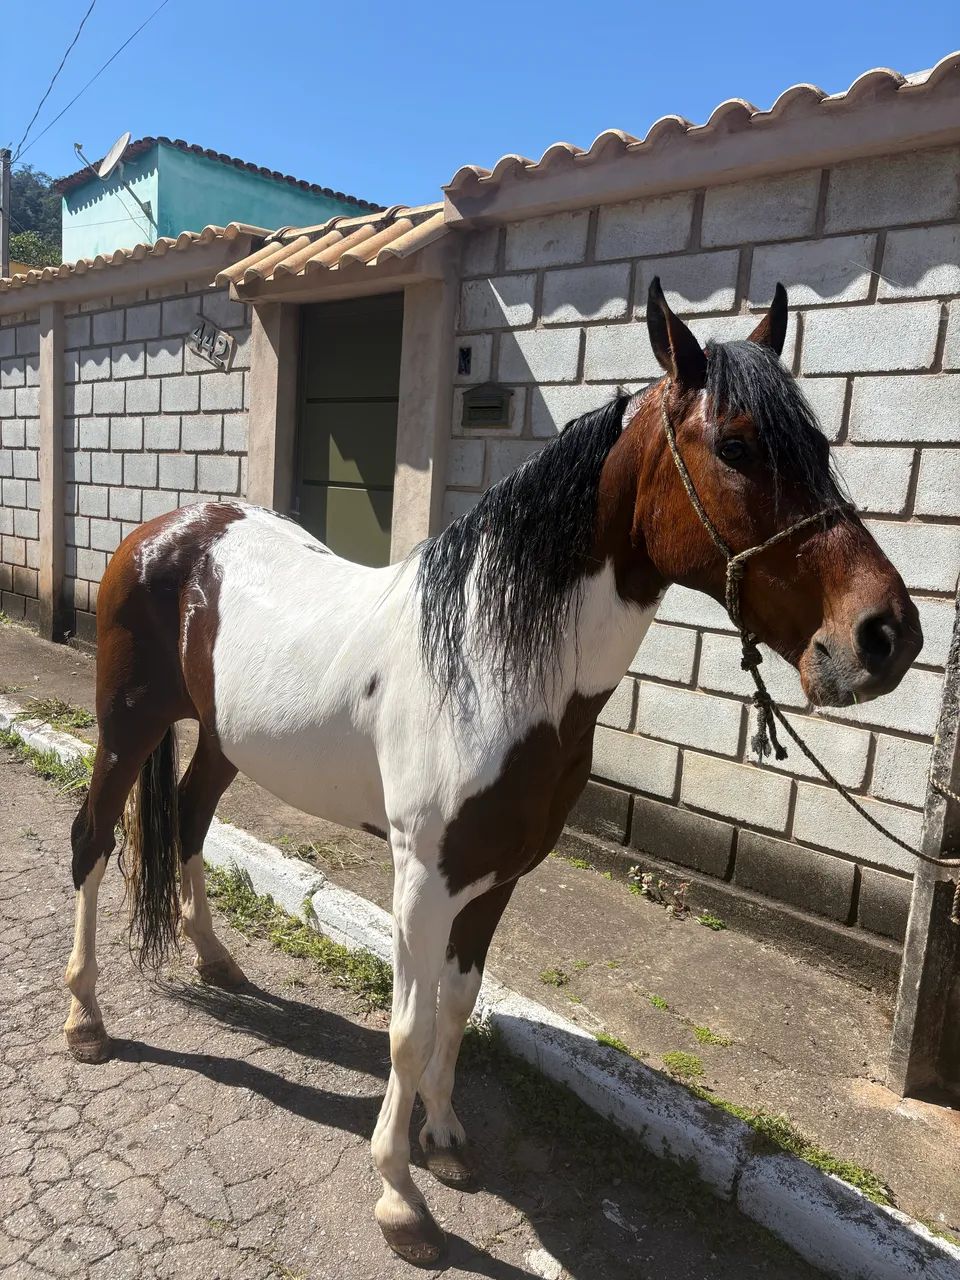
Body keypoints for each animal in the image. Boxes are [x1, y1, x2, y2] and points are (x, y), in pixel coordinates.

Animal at [62, 279, 921, 1265]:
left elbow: (458, 1002)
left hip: (220, 738)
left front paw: (442, 1138)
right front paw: (400, 1200)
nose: (885, 636)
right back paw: (85, 1019)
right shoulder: (423, 880)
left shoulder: (499, 872)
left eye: (821, 449)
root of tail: (169, 529)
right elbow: (405, 1029)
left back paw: (217, 962)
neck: (491, 664)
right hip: (128, 726)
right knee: (92, 841)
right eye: (737, 445)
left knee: (193, 820)